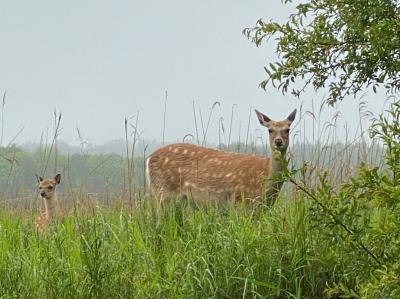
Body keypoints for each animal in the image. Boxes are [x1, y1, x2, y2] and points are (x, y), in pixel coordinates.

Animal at [145, 109, 296, 205]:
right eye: (270, 130)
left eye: (287, 129)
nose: (278, 141)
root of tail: (148, 159)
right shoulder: (243, 201)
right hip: (164, 191)